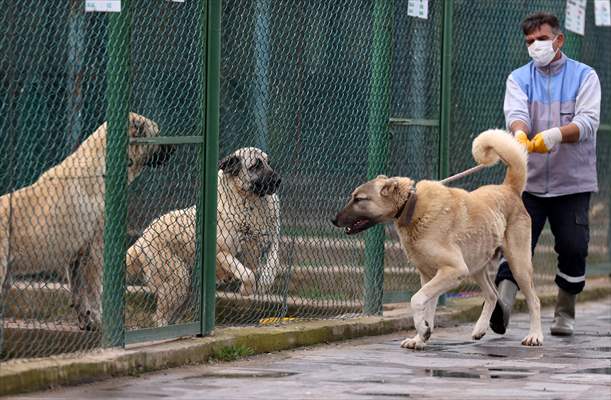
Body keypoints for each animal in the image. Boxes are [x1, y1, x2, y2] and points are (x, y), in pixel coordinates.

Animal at [334, 130, 544, 348]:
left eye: (359, 199)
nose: (333, 220)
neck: (413, 207)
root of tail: (509, 189)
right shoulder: (429, 275)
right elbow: (427, 307)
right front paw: (420, 337)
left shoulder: (453, 270)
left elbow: (416, 300)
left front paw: (423, 331)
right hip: (476, 267)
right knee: (492, 295)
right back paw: (480, 329)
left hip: (518, 266)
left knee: (534, 301)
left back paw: (535, 336)